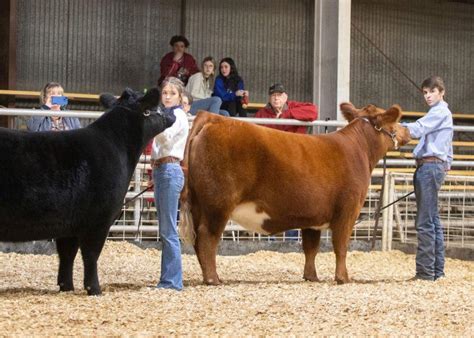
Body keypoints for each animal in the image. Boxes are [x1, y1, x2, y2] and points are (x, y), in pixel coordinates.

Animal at [180, 103, 410, 286]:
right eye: (394, 122)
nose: (407, 131)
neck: (359, 149)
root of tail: (212, 118)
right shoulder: (348, 210)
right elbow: (341, 246)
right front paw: (343, 278)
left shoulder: (313, 219)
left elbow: (311, 248)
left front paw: (311, 277)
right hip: (218, 204)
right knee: (207, 237)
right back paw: (213, 279)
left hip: (198, 204)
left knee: (198, 241)